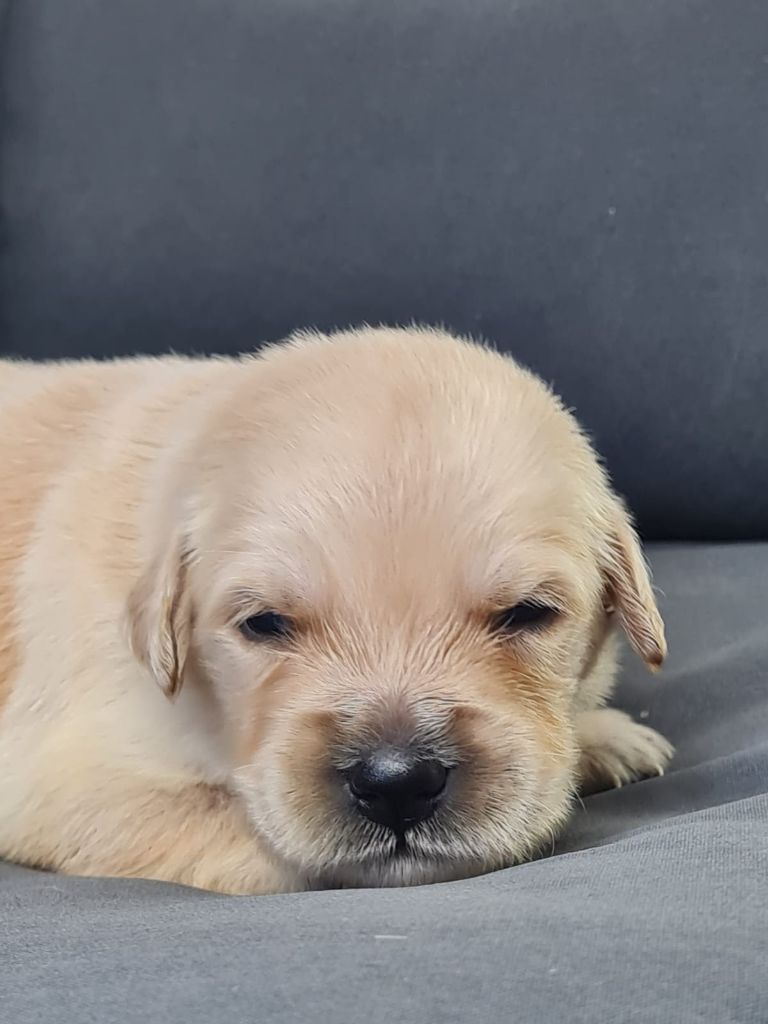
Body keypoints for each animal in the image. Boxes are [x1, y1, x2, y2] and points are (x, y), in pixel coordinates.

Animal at [0, 326, 673, 894]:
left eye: (527, 613)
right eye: (264, 623)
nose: (397, 783)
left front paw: (606, 736)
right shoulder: (71, 782)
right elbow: (272, 848)